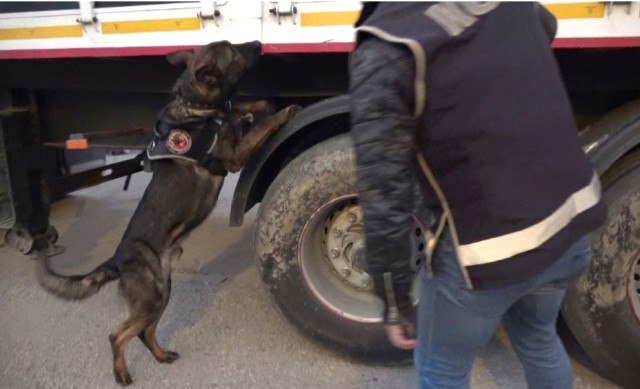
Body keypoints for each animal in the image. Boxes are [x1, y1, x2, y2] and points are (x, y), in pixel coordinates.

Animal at [31, 41, 298, 384]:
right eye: (233, 52)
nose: (257, 44)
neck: (196, 106)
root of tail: (116, 259)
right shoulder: (234, 156)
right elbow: (257, 125)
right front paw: (281, 111)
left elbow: (240, 109)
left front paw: (262, 104)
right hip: (149, 298)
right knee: (118, 335)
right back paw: (122, 374)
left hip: (162, 293)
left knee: (145, 333)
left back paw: (161, 356)